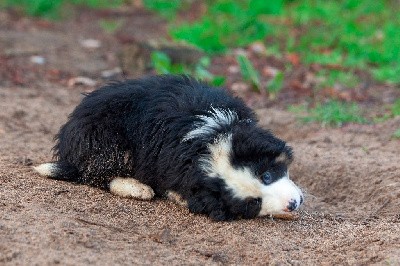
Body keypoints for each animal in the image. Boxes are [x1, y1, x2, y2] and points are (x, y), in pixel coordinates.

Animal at [35, 74, 304, 220]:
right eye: (253, 203)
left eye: (266, 175)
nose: (293, 204)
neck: (207, 137)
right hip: (106, 140)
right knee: (100, 175)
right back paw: (137, 187)